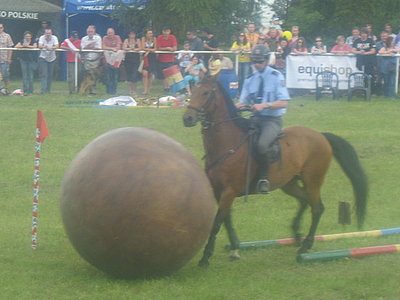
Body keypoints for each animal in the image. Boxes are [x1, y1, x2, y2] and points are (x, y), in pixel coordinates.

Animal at [183, 75, 368, 268]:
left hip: (313, 181)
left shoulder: (228, 192)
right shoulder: (219, 192)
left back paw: (305, 245)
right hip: (289, 183)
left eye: (205, 93)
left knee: (317, 208)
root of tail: (321, 135)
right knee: (304, 201)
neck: (227, 144)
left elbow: (217, 223)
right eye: (192, 91)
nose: (187, 118)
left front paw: (206, 258)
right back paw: (297, 235)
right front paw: (235, 248)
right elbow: (227, 220)